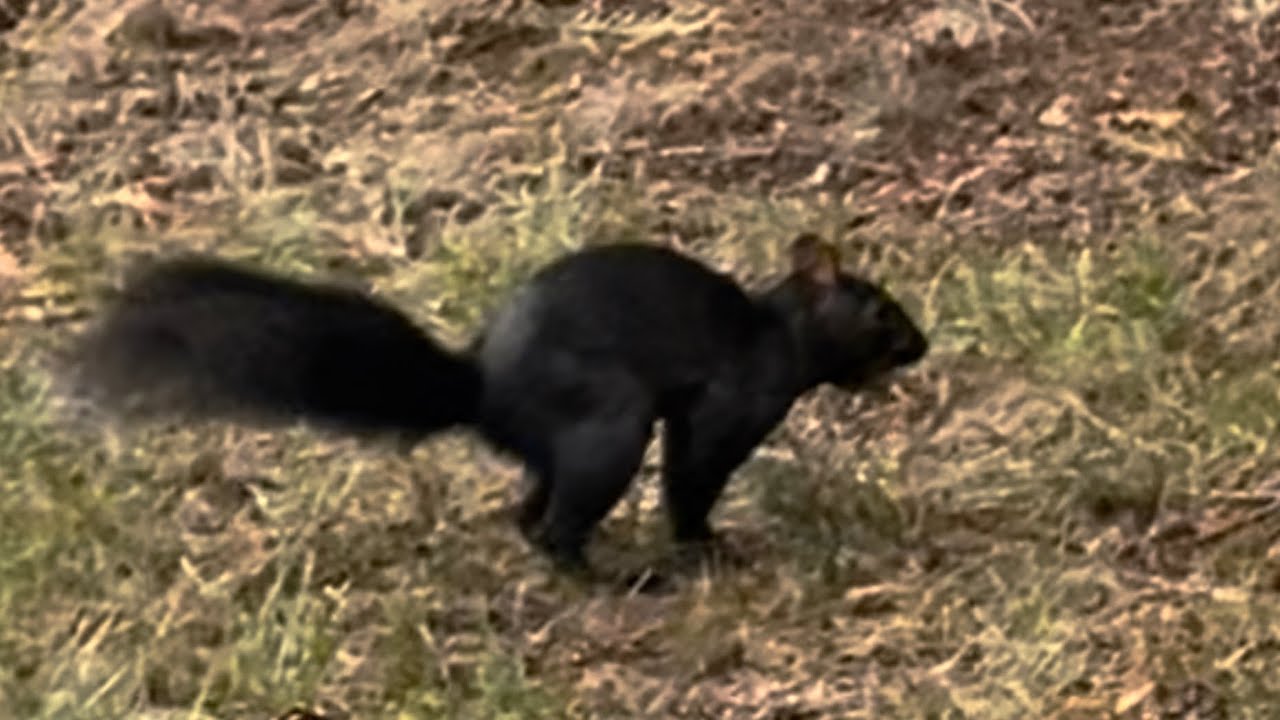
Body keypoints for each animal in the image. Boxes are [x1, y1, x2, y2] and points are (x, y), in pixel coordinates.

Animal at [68, 235, 929, 574]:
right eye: (880, 311)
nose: (922, 344)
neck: (775, 338)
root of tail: (483, 393)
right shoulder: (723, 410)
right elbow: (692, 479)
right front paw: (707, 545)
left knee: (530, 516)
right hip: (608, 430)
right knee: (553, 528)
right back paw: (619, 579)